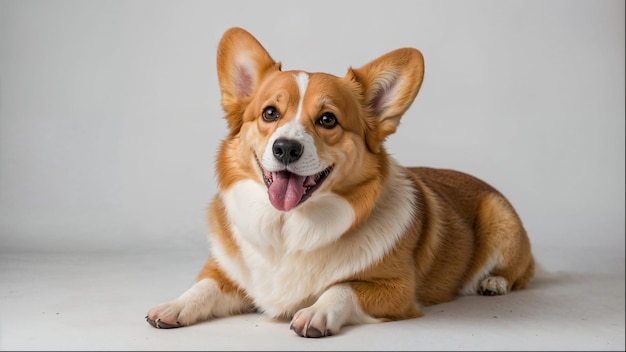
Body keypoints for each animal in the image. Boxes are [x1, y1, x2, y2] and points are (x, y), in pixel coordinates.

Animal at [145, 26, 532, 336]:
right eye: (270, 113)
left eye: (327, 119)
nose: (286, 148)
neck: (289, 229)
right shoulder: (226, 273)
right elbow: (203, 287)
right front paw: (173, 306)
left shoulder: (396, 289)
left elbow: (342, 288)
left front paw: (315, 312)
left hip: (499, 218)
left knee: (521, 272)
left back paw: (494, 282)